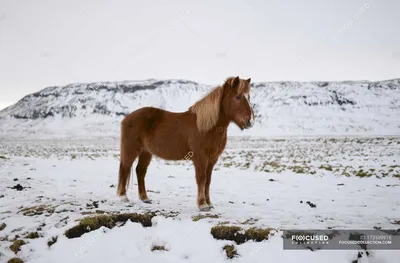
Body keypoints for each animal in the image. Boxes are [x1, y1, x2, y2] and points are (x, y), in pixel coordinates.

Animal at [117, 76, 253, 210]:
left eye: (249, 96)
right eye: (238, 97)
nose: (250, 121)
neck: (206, 127)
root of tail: (126, 118)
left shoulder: (212, 159)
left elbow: (208, 180)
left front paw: (209, 203)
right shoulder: (200, 158)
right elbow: (201, 178)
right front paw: (202, 204)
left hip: (146, 152)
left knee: (140, 171)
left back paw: (145, 198)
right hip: (131, 150)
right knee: (125, 168)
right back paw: (123, 197)